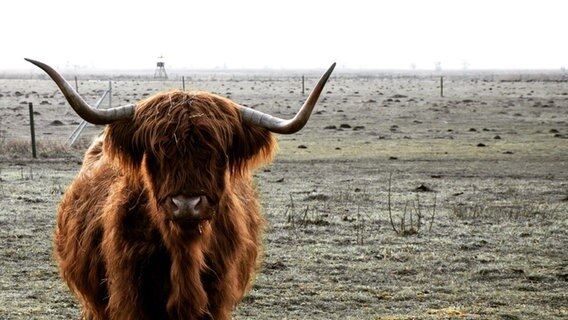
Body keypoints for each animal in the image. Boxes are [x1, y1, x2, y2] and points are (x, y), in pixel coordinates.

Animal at [25, 58, 332, 320]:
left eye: (218, 153)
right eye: (156, 153)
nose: (186, 205)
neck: (185, 253)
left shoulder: (217, 299)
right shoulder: (129, 298)